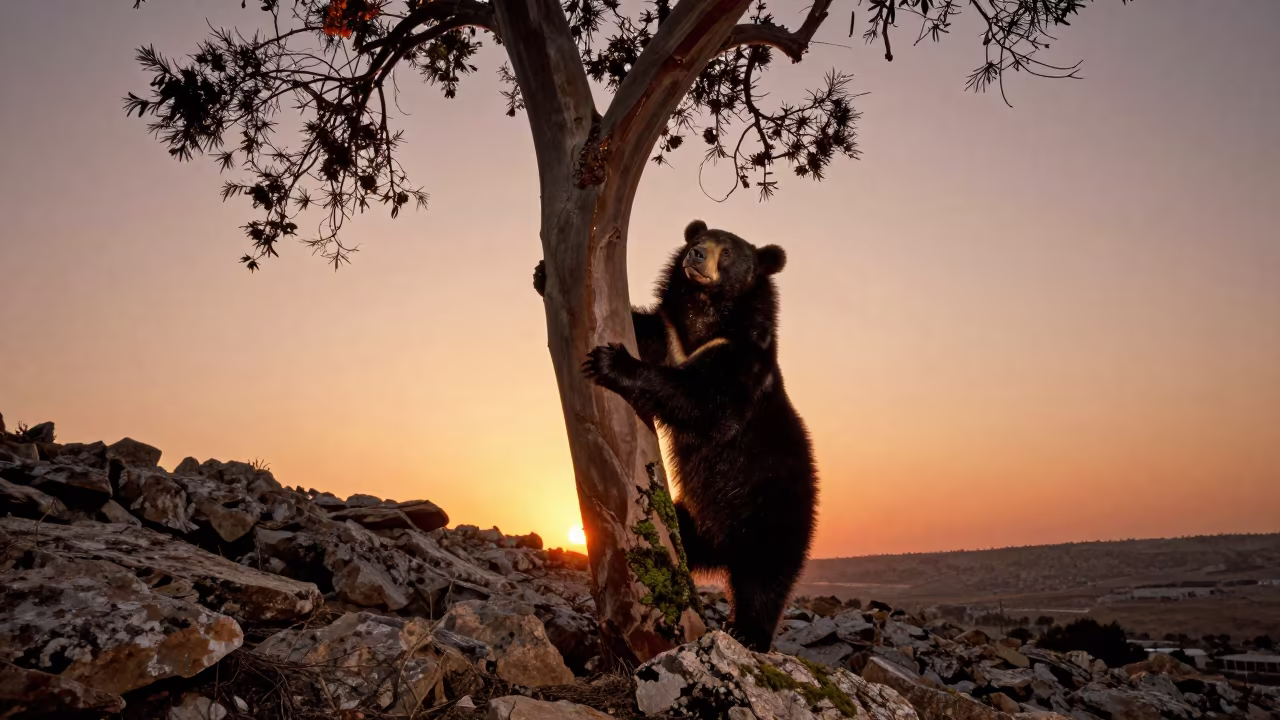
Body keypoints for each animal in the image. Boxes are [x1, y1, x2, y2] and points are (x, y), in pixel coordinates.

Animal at [533, 220, 817, 651]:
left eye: (727, 251)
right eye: (696, 240)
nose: (696, 256)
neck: (707, 312)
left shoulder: (739, 360)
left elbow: (700, 398)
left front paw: (611, 361)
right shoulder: (672, 335)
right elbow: (645, 330)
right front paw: (541, 274)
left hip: (774, 513)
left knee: (765, 579)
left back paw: (748, 634)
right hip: (695, 520)